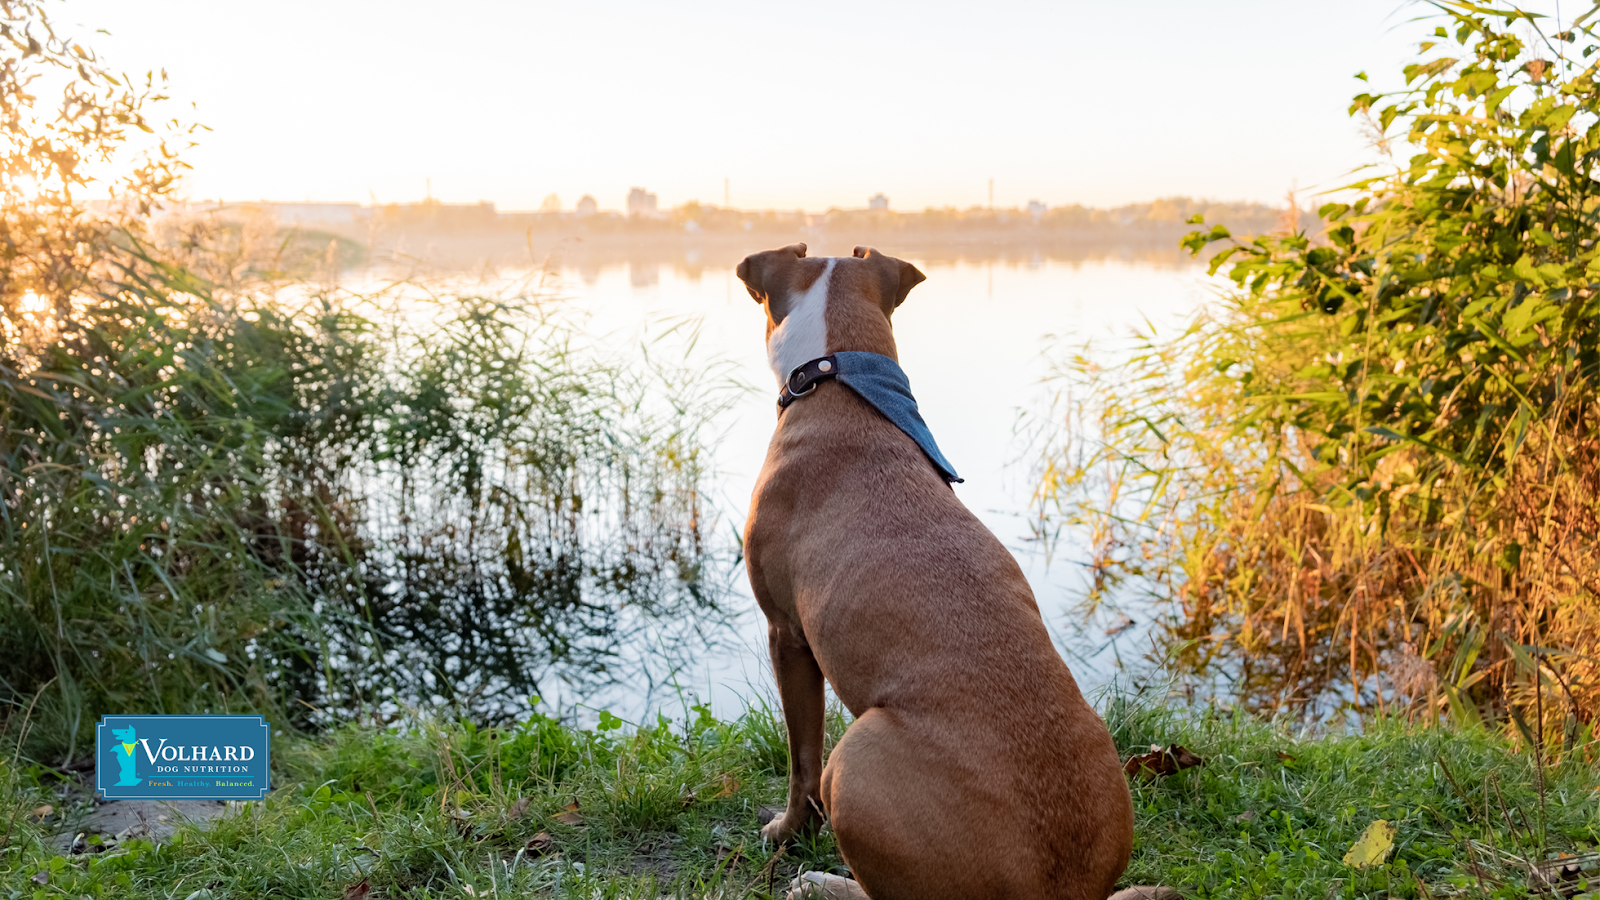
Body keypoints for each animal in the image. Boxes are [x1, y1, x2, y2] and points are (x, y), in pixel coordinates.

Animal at [739, 243, 1177, 896]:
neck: (842, 384)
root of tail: (1057, 889)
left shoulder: (787, 636)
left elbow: (801, 761)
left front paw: (787, 833)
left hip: (857, 754)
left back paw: (822, 881)